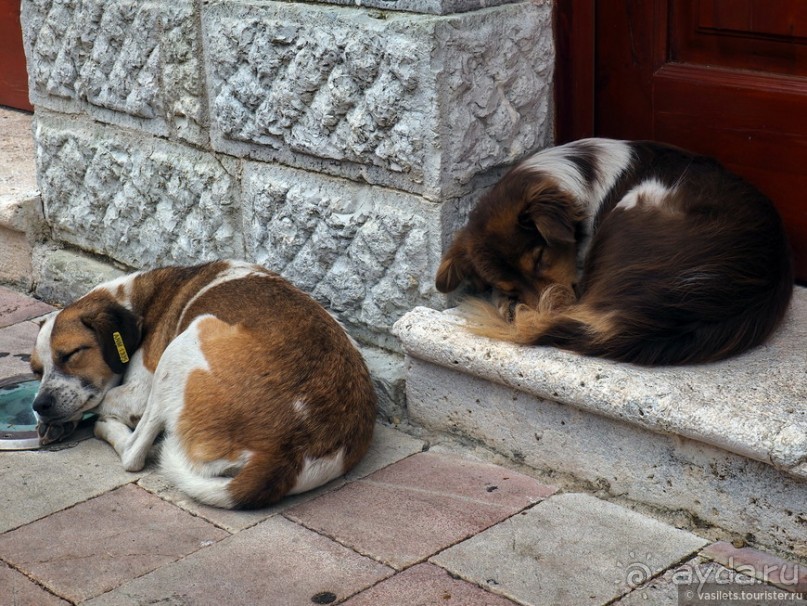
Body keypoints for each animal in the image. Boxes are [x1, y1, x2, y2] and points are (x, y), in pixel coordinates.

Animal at [28, 260, 376, 508]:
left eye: (71, 354)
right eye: (35, 370)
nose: (40, 404)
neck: (141, 303)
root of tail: (285, 452)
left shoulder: (139, 392)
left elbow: (103, 399)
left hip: (189, 336)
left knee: (133, 453)